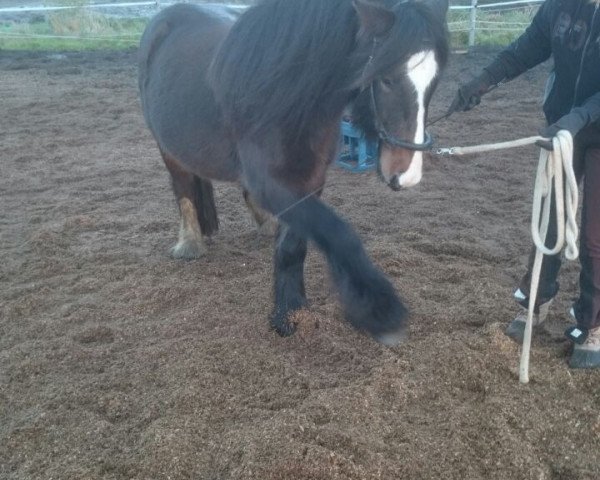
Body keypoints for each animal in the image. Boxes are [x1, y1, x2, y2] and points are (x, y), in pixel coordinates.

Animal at [139, 0, 450, 344]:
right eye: (386, 79)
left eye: (434, 81)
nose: (407, 175)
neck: (287, 92)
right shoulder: (275, 183)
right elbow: (339, 234)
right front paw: (379, 310)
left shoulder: (309, 180)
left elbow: (293, 247)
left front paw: (292, 312)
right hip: (168, 147)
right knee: (183, 190)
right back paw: (189, 244)